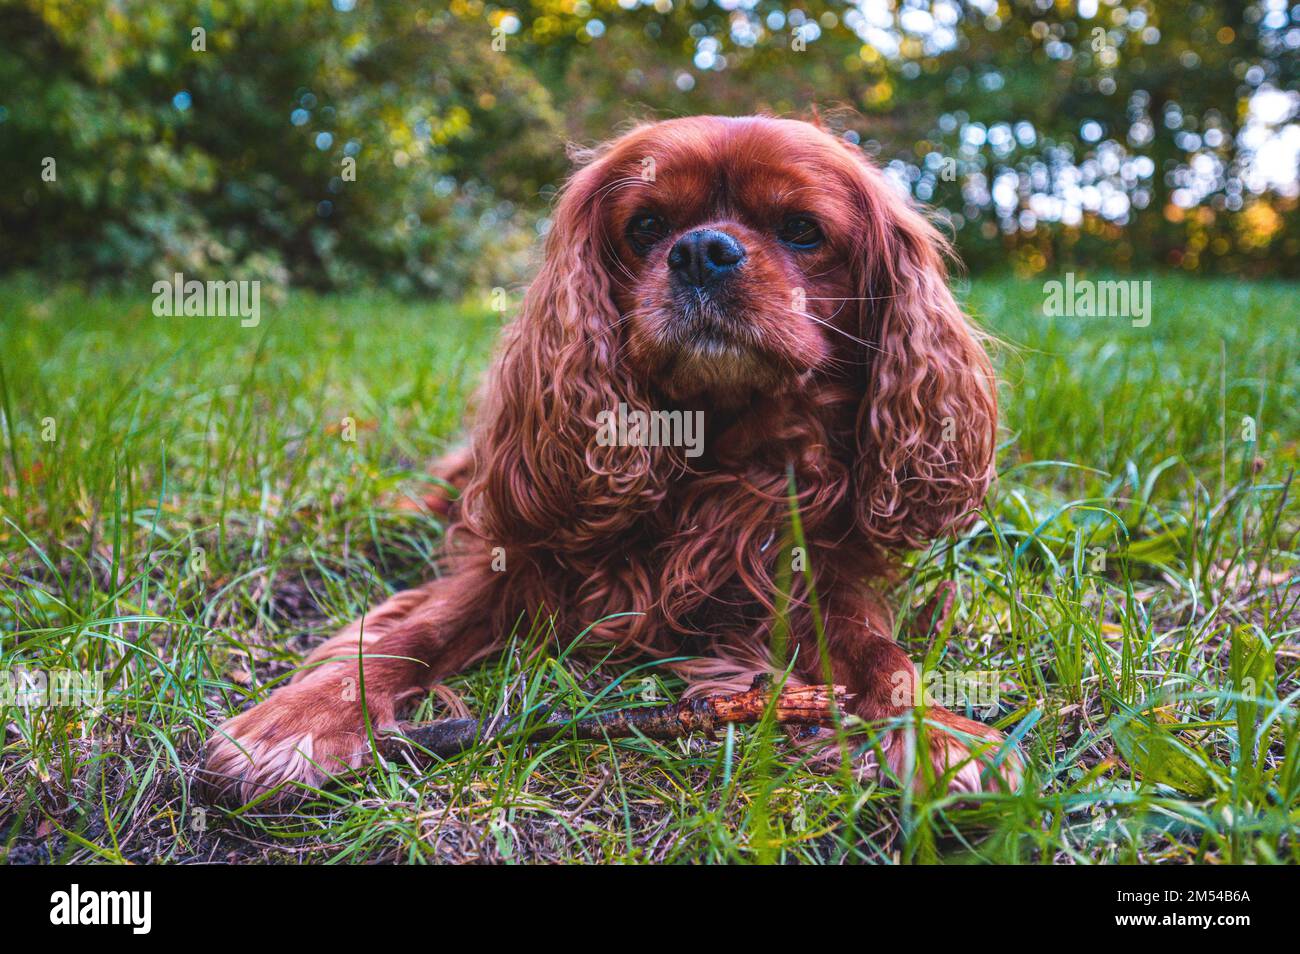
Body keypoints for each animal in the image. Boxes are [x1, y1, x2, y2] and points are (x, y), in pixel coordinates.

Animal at [202, 115, 1019, 805]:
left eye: (802, 230)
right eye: (648, 225)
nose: (703, 251)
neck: (715, 449)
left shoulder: (816, 584)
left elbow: (886, 659)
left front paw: (944, 736)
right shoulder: (511, 562)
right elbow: (411, 632)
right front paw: (298, 721)